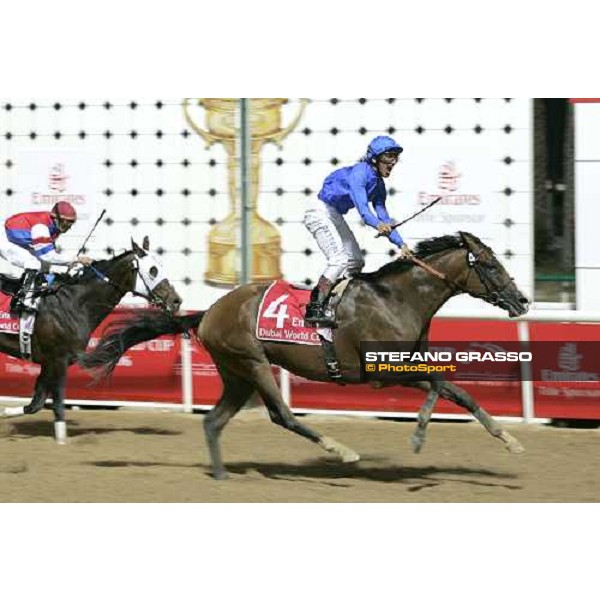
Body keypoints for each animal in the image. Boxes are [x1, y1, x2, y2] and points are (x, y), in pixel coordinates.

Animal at [79, 232, 528, 480]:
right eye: (490, 264)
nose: (522, 301)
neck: (397, 298)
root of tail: (209, 312)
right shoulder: (380, 372)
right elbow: (438, 386)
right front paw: (417, 433)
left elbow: (458, 391)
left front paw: (509, 440)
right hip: (254, 363)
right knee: (283, 415)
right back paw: (340, 450)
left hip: (236, 374)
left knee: (213, 421)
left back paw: (222, 476)